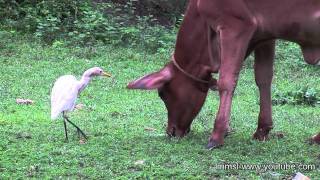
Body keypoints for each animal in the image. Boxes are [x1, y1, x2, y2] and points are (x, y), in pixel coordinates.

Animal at [127, 0, 320, 149]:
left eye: (162, 94)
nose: (171, 131)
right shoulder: (266, 35)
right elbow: (263, 78)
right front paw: (262, 130)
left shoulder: (235, 25)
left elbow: (227, 81)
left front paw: (217, 135)